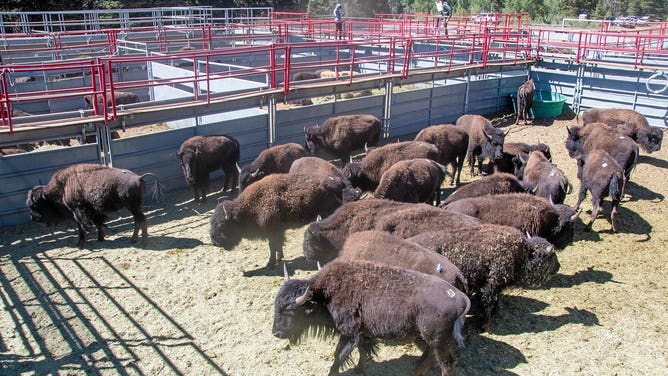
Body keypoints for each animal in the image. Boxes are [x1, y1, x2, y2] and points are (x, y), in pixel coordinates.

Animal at [25, 163, 159, 248]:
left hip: (133, 207)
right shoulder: (94, 212)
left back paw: (143, 243)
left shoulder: (78, 212)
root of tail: (139, 177)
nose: (33, 218)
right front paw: (100, 238)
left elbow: (82, 227)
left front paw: (80, 245)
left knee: (142, 220)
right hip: (133, 207)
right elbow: (97, 223)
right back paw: (133, 240)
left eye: (35, 205)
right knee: (138, 221)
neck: (63, 186)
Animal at [272, 262, 470, 376]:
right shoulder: (362, 334)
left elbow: (338, 357)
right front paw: (360, 369)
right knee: (431, 356)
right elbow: (362, 351)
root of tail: (460, 297)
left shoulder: (349, 335)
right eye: (276, 305)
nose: (275, 333)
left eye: (290, 311)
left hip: (439, 340)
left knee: (446, 363)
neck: (324, 295)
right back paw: (416, 369)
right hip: (433, 339)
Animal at [408, 225, 560, 330]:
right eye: (550, 255)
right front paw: (485, 325)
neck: (521, 253)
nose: (558, 267)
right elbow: (488, 303)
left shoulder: (496, 286)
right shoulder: (490, 285)